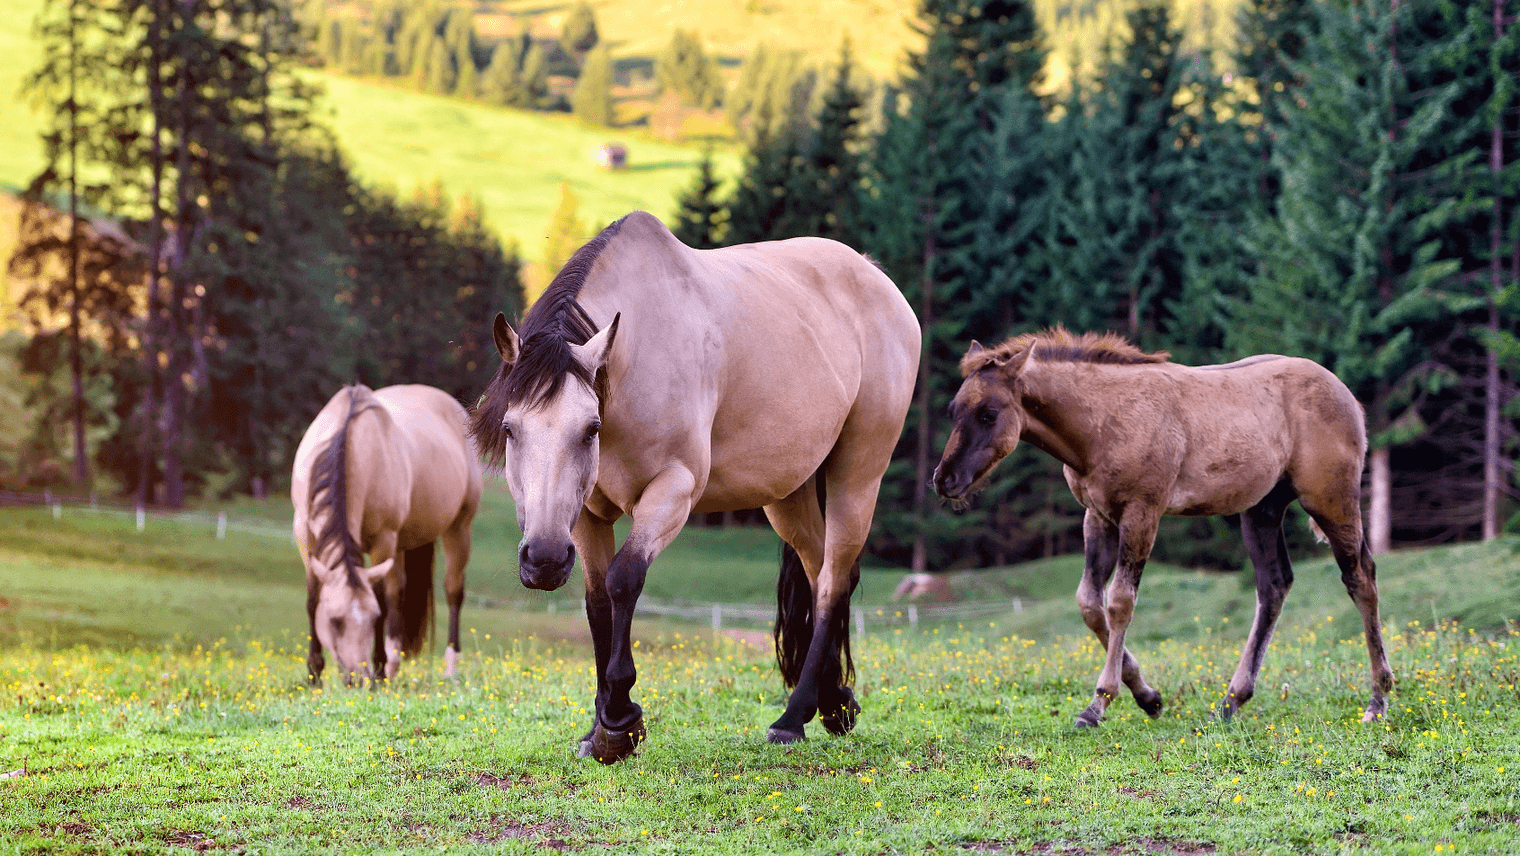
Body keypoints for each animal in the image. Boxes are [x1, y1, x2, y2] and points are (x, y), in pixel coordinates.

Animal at [292, 384, 483, 685]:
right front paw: (314, 674)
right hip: (402, 544)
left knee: (453, 593)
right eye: (335, 621)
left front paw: (378, 671)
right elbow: (313, 600)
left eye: (372, 619)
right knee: (399, 592)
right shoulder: (304, 534)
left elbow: (382, 599)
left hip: (458, 529)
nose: (357, 678)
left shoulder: (383, 539)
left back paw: (449, 668)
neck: (350, 443)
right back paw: (394, 666)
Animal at [470, 211, 919, 763]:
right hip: (787, 494)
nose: (544, 560)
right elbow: (597, 601)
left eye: (590, 428)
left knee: (835, 580)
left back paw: (792, 719)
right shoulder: (588, 514)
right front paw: (598, 730)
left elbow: (624, 579)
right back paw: (834, 703)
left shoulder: (674, 491)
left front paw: (620, 721)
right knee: (822, 575)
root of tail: (874, 275)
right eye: (511, 429)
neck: (637, 356)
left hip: (859, 472)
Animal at [932, 328, 1393, 728]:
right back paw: (1230, 702)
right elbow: (1089, 603)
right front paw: (1148, 697)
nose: (944, 479)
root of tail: (1348, 396)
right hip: (1261, 510)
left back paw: (1378, 699)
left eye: (989, 413)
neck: (1105, 421)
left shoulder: (1143, 512)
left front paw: (1098, 704)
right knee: (1274, 586)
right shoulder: (1098, 516)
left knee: (1361, 578)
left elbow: (1120, 602)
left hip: (1330, 500)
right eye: (953, 411)